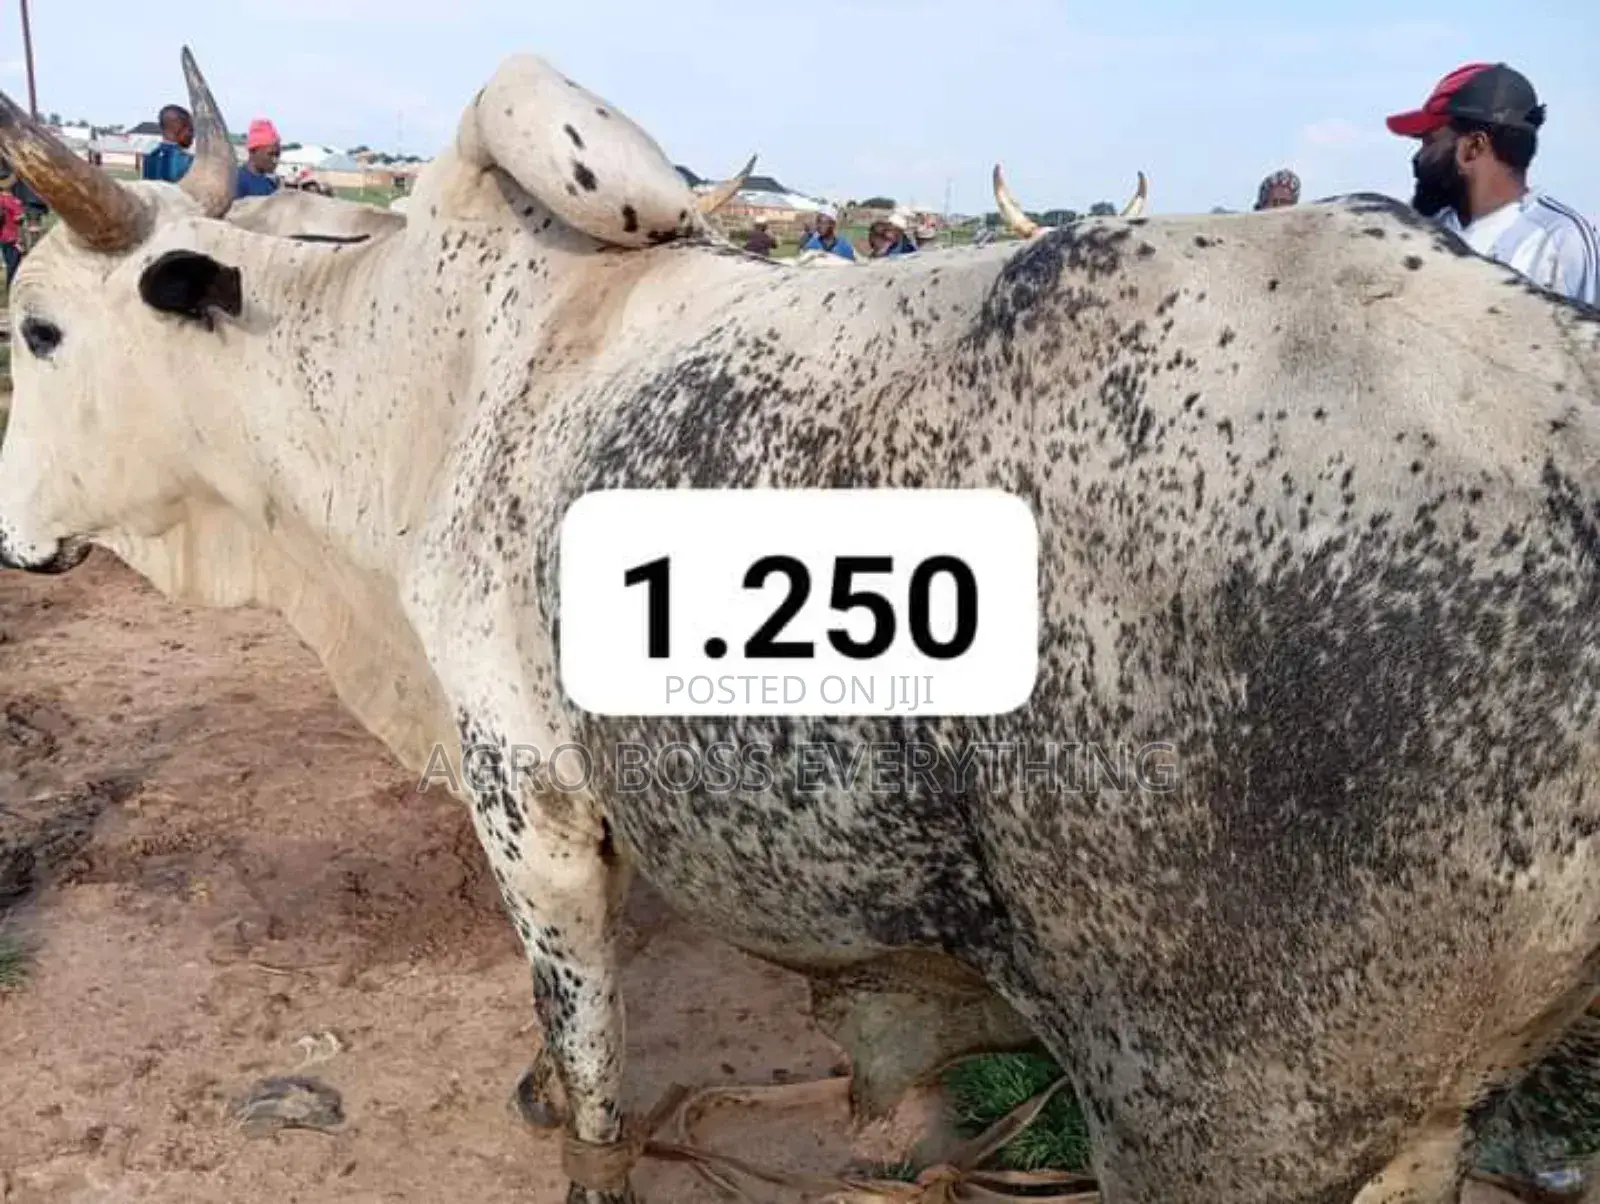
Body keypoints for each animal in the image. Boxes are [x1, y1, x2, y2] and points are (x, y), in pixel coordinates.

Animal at [4, 44, 1600, 1204]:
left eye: (37, 330)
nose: (16, 532)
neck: (415, 376)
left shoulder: (529, 798)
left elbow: (589, 1066)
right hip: (1411, 1117)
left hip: (1211, 1110)